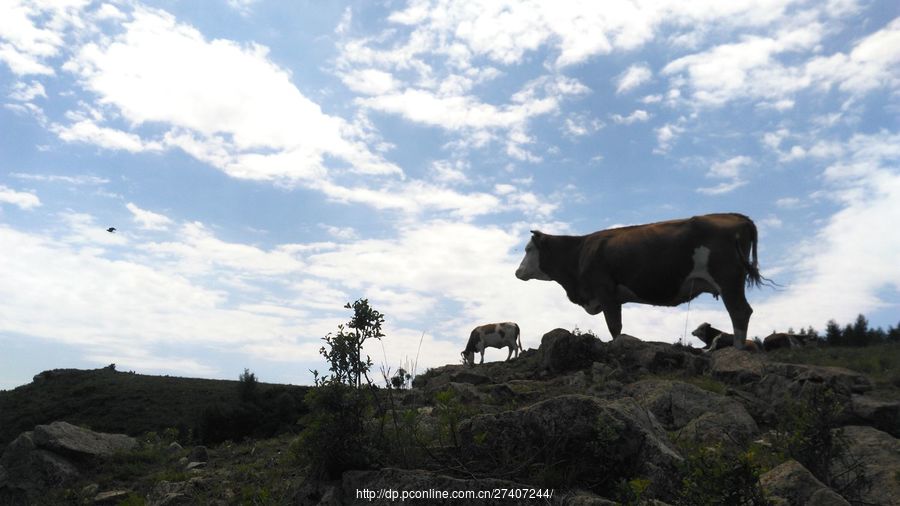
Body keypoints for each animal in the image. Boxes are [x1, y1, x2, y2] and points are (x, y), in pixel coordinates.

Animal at [516, 212, 764, 348]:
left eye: (528, 249)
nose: (517, 272)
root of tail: (737, 217)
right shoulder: (613, 296)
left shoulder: (605, 289)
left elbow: (614, 327)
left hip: (728, 279)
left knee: (740, 312)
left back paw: (738, 349)